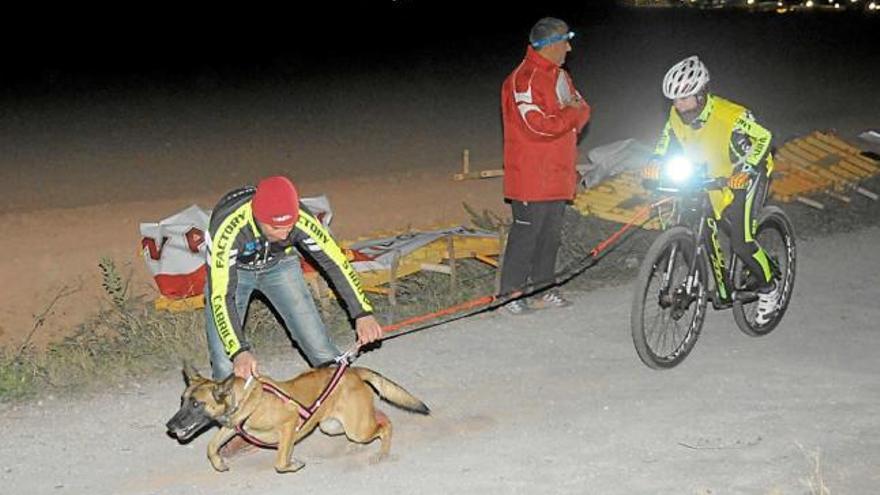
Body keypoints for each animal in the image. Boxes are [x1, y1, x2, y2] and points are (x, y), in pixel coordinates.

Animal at [165, 364, 430, 472]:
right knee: (377, 418)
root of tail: (353, 371)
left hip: (357, 428)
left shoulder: (289, 423)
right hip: (332, 425)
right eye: (182, 400)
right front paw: (219, 463)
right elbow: (211, 446)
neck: (244, 397)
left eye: (196, 404)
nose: (169, 426)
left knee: (385, 425)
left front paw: (293, 464)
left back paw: (382, 453)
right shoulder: (232, 427)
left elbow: (280, 462)